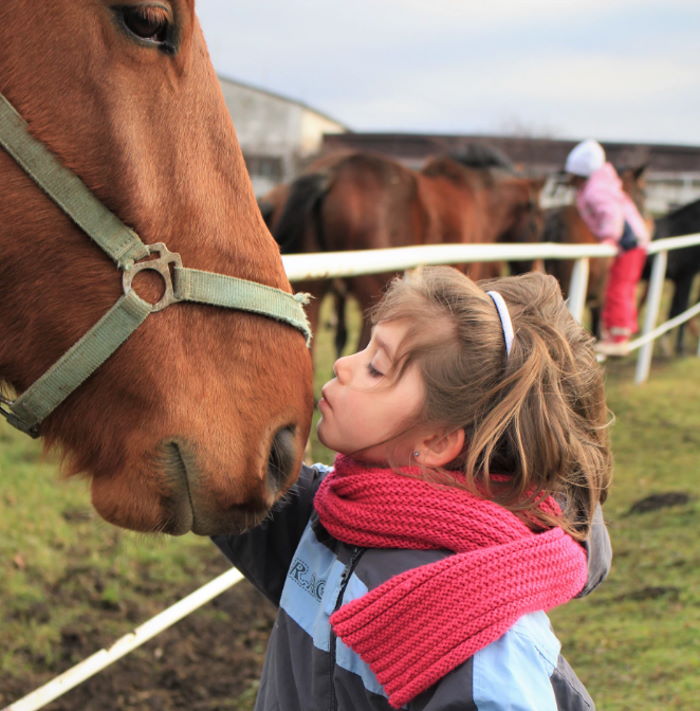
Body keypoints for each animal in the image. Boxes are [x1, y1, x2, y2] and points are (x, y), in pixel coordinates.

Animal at [266, 146, 544, 356]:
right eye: (536, 221)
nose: (534, 268)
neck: (481, 198)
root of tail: (332, 172)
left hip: (317, 290)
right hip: (374, 292)